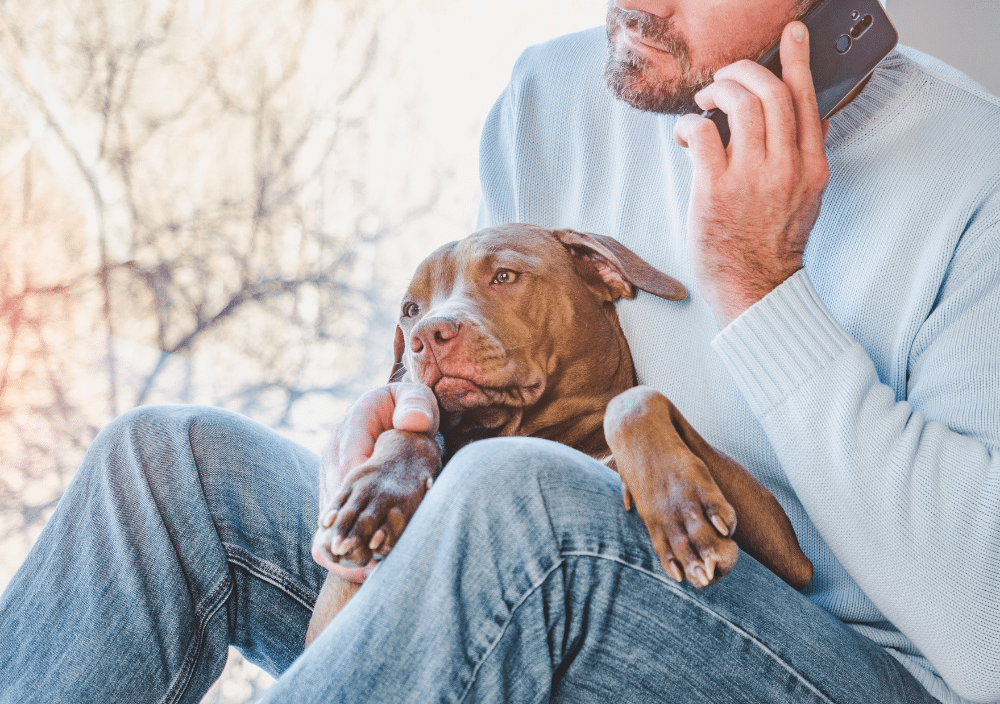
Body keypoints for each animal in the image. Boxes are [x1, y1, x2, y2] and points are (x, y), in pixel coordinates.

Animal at [306, 223, 812, 648]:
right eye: (411, 310)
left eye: (504, 275)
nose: (426, 337)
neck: (534, 428)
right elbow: (412, 429)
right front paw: (376, 491)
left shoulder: (793, 563)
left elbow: (633, 401)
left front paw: (681, 512)